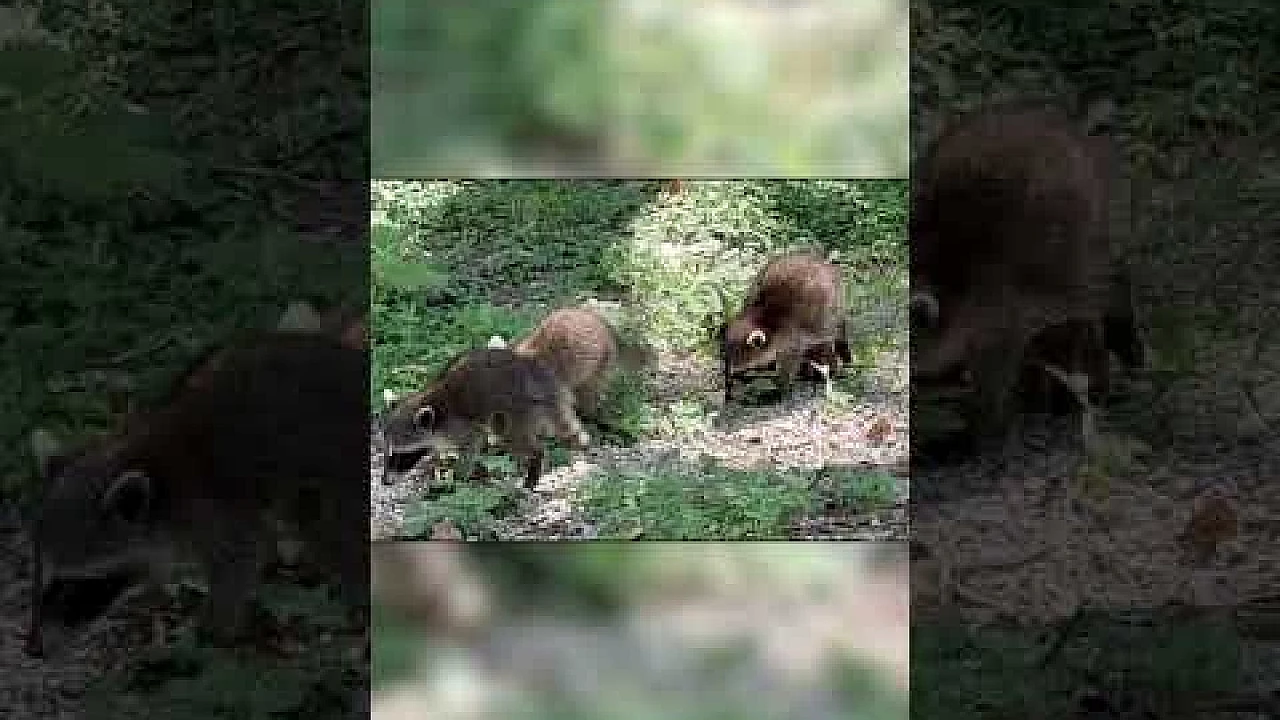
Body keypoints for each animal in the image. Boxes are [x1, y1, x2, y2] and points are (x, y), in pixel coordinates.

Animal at [26, 330, 368, 656]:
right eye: (40, 578)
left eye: (69, 587)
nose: (33, 650)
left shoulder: (212, 503)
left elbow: (239, 559)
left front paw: (211, 634)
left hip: (341, 468)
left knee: (335, 529)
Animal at [381, 348, 589, 491]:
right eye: (387, 453)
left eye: (399, 455)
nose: (384, 481)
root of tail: (543, 380)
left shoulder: (458, 425)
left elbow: (472, 444)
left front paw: (458, 479)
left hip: (516, 408)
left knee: (513, 436)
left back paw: (534, 463)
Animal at [720, 252, 852, 402]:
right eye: (726, 367)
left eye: (742, 373)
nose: (728, 397)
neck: (762, 320)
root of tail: (824, 262)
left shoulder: (792, 338)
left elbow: (789, 366)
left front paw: (781, 387)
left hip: (831, 311)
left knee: (831, 336)